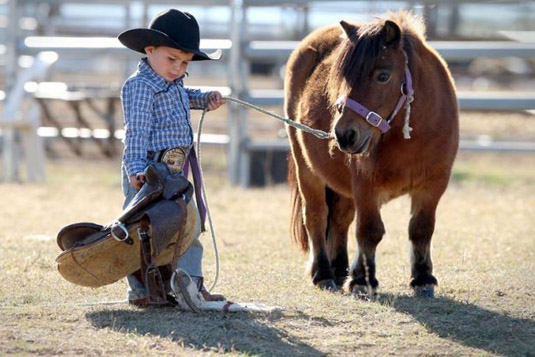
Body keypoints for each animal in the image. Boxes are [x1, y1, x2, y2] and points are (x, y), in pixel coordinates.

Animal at [286, 9, 458, 296]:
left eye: (383, 76)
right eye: (344, 77)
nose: (344, 134)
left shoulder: (434, 184)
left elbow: (421, 229)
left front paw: (423, 278)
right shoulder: (366, 185)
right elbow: (369, 230)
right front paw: (362, 280)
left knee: (340, 220)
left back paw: (340, 269)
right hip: (306, 169)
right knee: (317, 216)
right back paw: (324, 273)